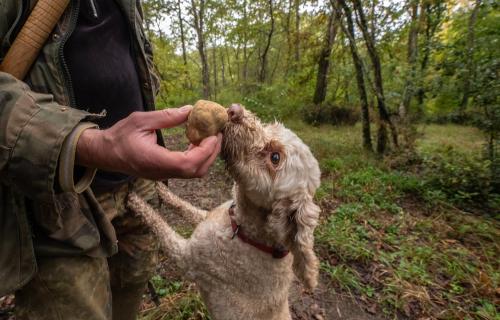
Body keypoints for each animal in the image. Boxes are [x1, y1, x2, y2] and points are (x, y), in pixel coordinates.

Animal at [128, 104, 320, 318]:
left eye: (275, 157)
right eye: (269, 126)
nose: (235, 110)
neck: (241, 230)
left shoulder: (187, 258)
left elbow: (158, 224)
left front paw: (134, 200)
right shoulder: (206, 216)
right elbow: (183, 205)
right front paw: (160, 188)